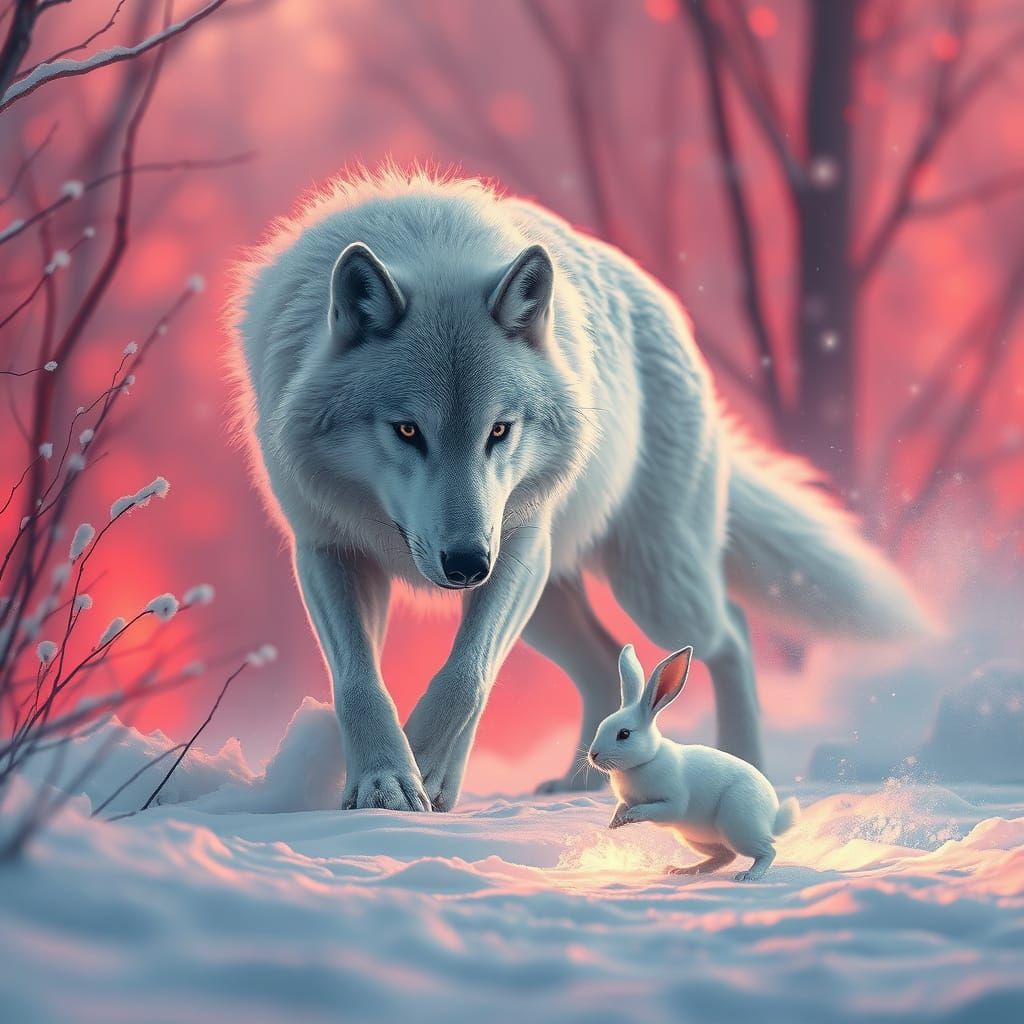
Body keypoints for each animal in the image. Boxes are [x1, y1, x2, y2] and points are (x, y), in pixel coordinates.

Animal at [230, 169, 928, 813]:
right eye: (407, 429)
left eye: (499, 430)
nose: (467, 565)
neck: (430, 243)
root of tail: (668, 308)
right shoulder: (327, 549)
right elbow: (360, 684)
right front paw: (385, 784)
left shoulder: (517, 546)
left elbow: (465, 676)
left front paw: (426, 773)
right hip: (553, 604)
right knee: (607, 663)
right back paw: (580, 782)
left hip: (645, 584)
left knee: (729, 630)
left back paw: (742, 762)